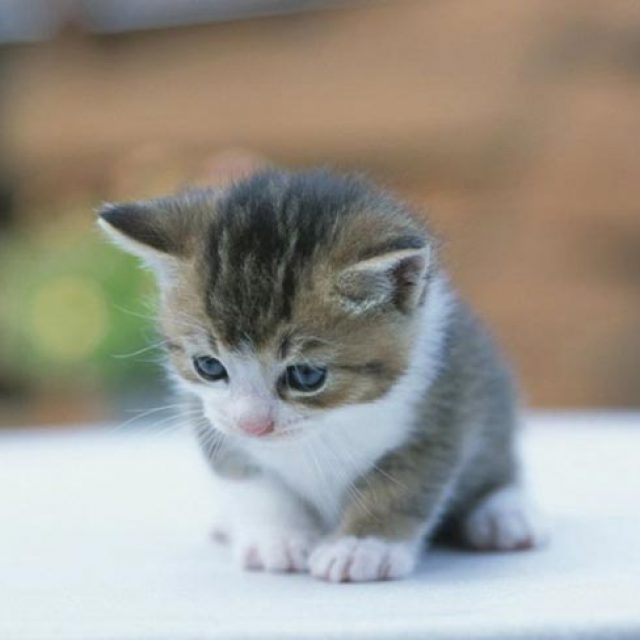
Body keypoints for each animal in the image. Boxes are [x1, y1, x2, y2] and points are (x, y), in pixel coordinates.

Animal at [99, 168, 546, 582]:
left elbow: (405, 484)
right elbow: (251, 479)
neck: (326, 424)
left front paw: (363, 546)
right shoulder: (208, 417)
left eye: (307, 376)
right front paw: (277, 538)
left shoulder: (442, 404)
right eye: (209, 366)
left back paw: (503, 514)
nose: (253, 425)